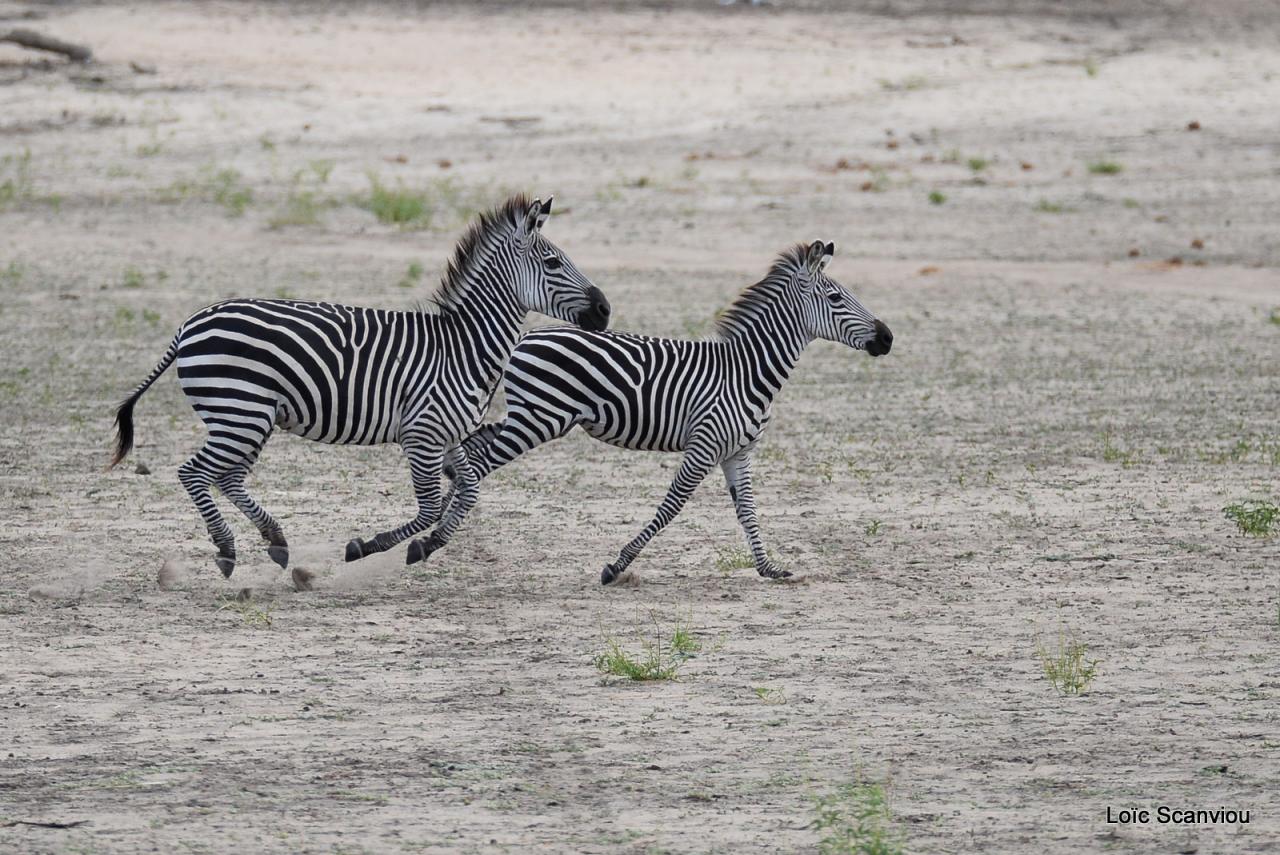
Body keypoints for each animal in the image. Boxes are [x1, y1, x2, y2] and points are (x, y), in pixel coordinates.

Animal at [110, 193, 609, 578]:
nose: (605, 310)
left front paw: (423, 547)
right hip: (240, 412)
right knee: (194, 473)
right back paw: (228, 549)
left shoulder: (448, 435)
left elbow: (467, 492)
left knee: (226, 476)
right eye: (552, 262)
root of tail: (189, 323)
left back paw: (275, 540)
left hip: (248, 418)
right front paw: (369, 546)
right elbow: (432, 506)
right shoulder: (422, 434)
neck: (463, 346)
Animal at [424, 240, 896, 583]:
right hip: (538, 420)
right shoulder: (704, 447)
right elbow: (672, 506)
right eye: (835, 297)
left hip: (531, 417)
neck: (747, 371)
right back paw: (433, 536)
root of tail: (527, 336)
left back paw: (436, 525)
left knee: (469, 450)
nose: (888, 337)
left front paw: (769, 568)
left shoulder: (737, 453)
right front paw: (616, 566)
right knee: (477, 459)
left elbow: (748, 511)